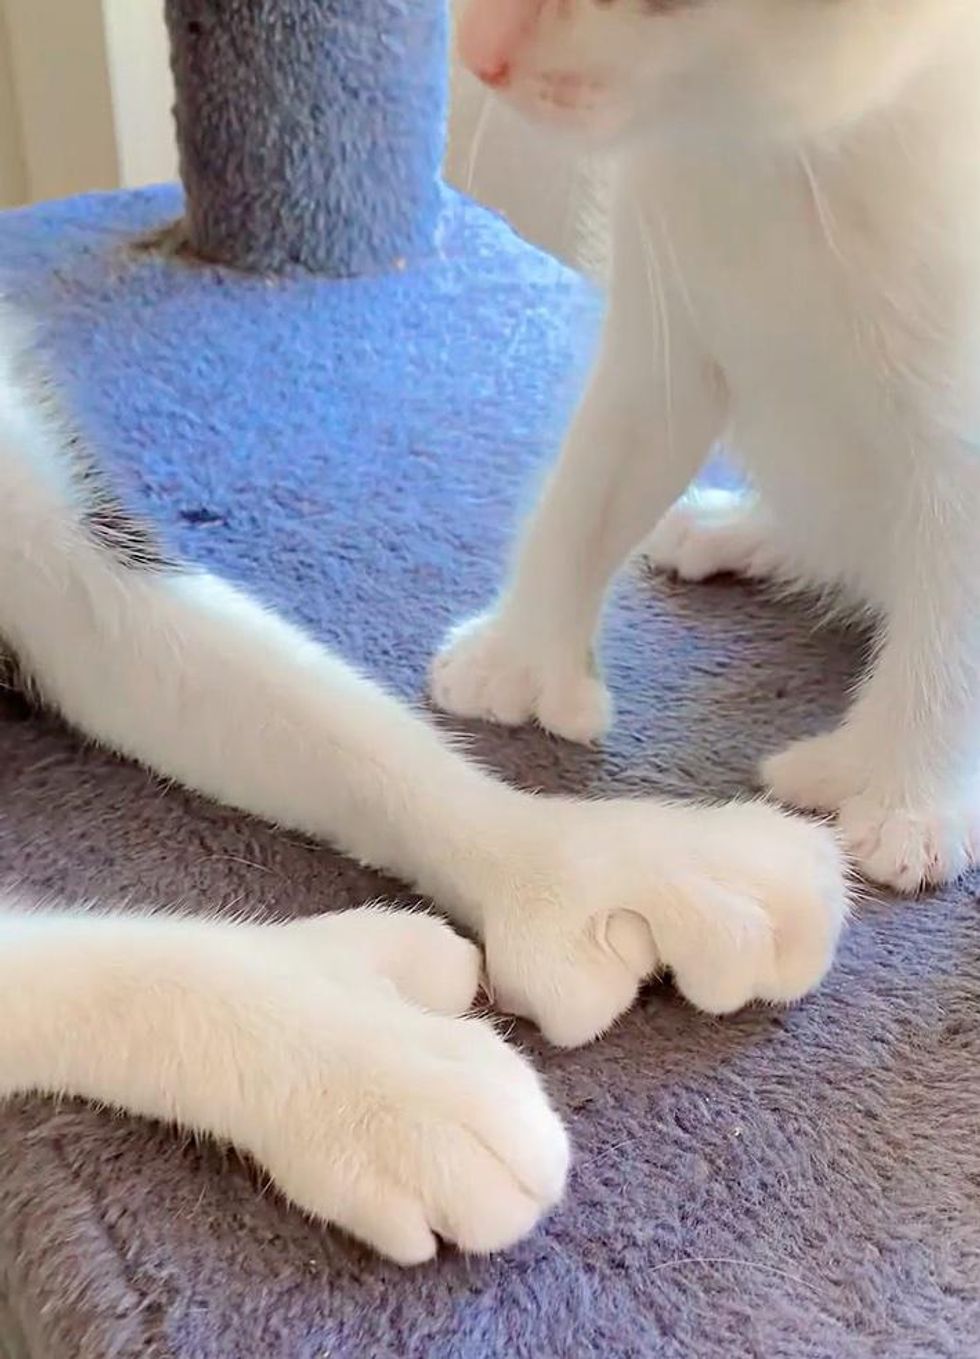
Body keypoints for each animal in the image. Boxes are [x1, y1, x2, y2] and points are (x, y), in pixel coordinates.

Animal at [437, 5, 980, 896]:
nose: (479, 50)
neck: (778, 162)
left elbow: (957, 629)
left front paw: (908, 796)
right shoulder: (663, 327)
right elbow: (591, 484)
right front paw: (518, 657)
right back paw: (741, 529)